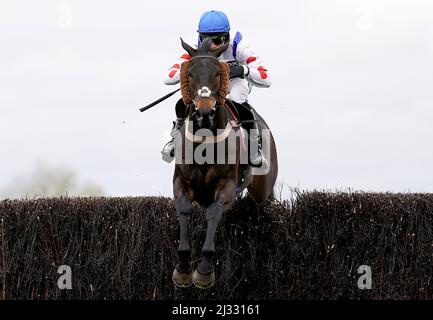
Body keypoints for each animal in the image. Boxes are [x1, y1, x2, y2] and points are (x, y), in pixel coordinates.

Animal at [170, 38, 278, 290]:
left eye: (218, 72)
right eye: (190, 73)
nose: (204, 111)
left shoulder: (227, 186)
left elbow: (214, 213)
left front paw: (204, 271)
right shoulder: (182, 183)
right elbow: (184, 209)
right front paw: (183, 268)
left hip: (262, 191)